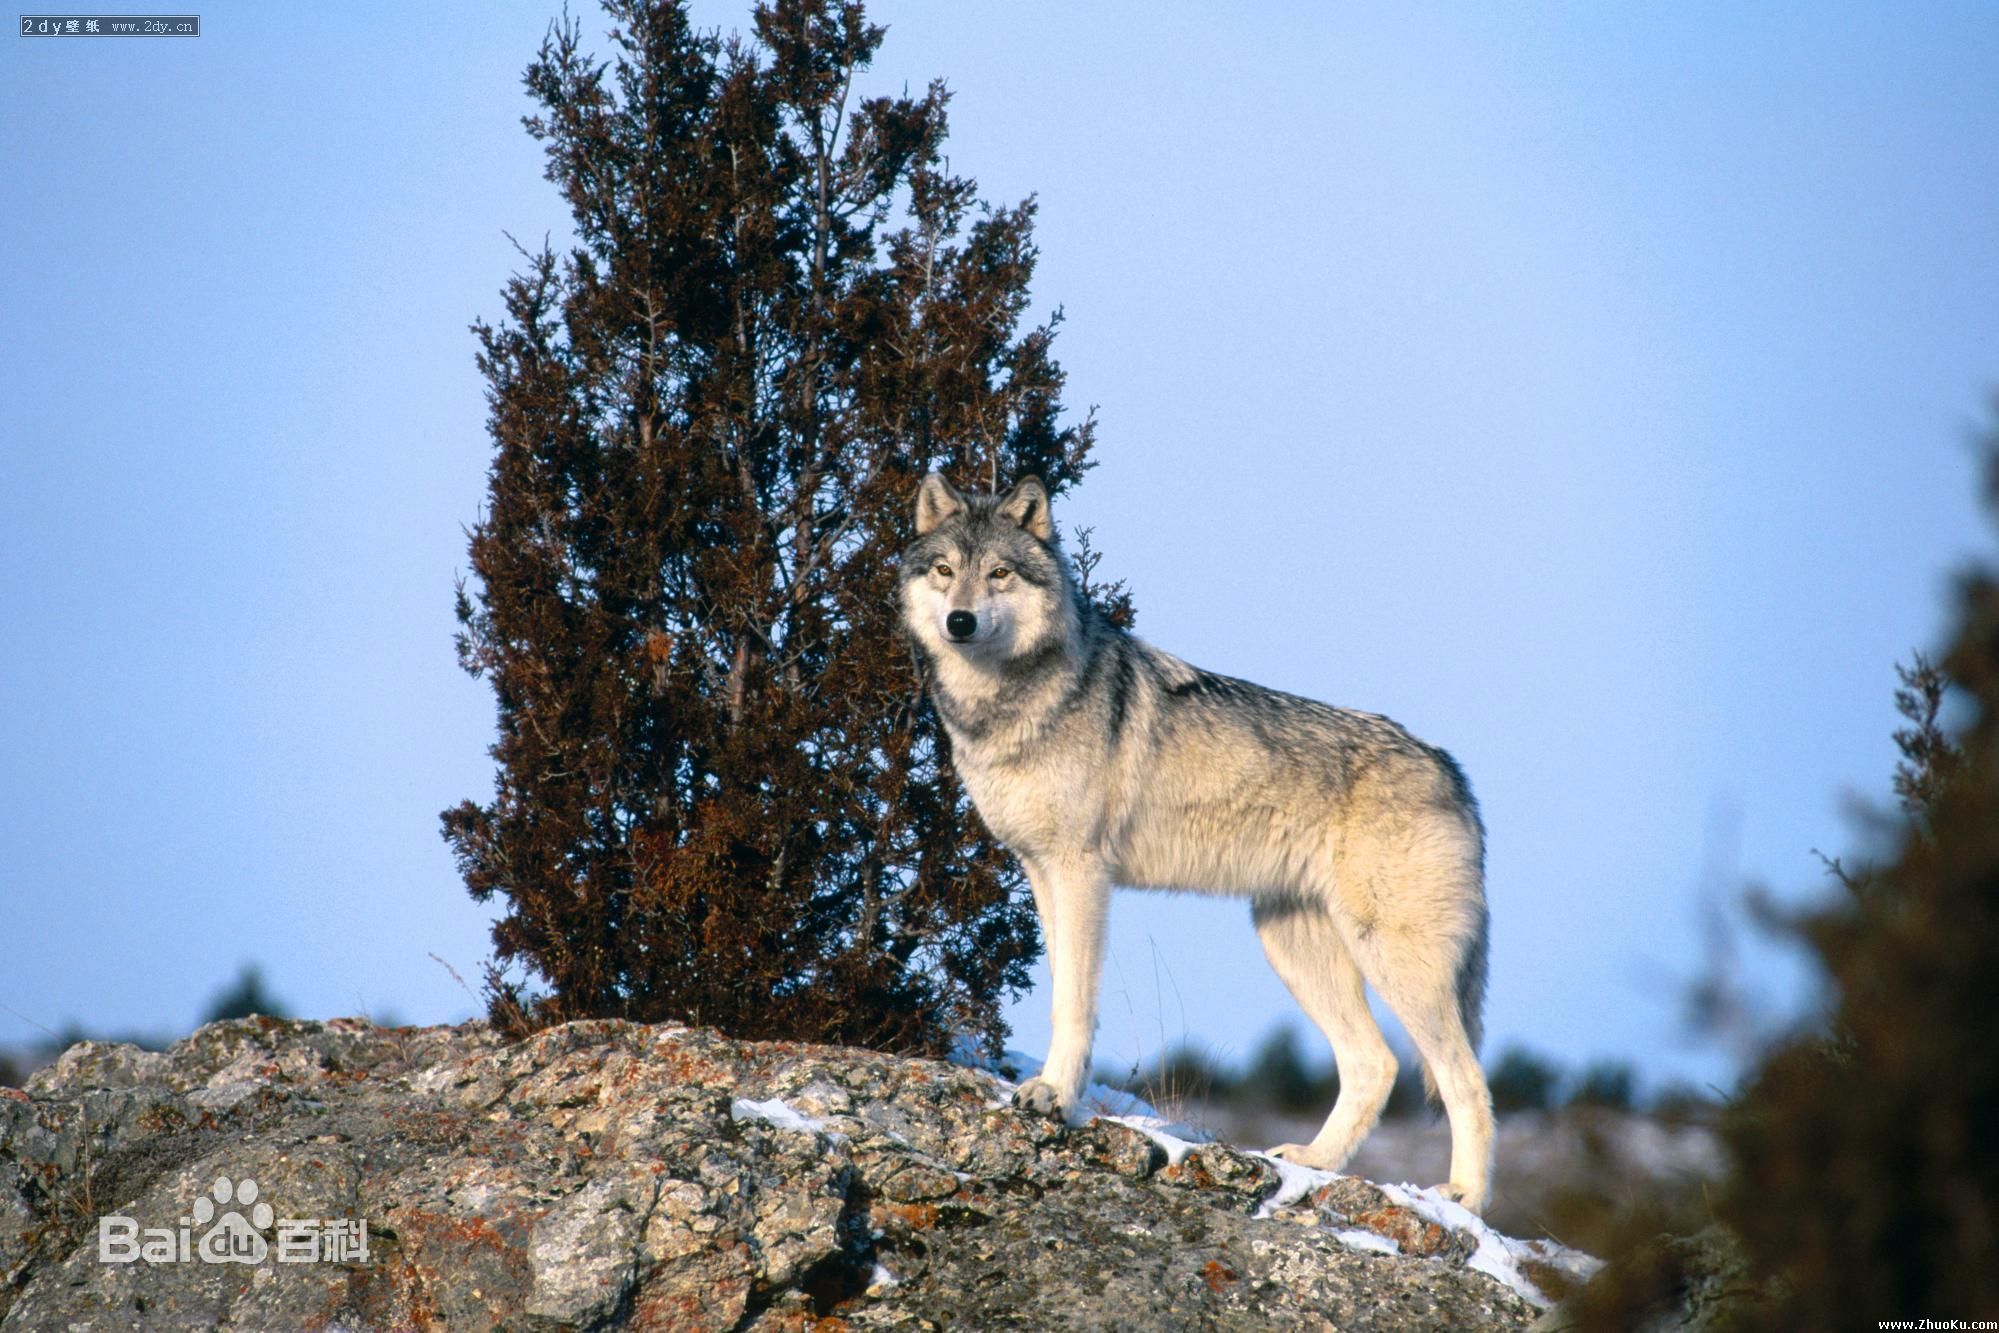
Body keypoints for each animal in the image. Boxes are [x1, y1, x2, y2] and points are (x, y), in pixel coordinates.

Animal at [899, 473, 1495, 1215]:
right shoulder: (1040, 871)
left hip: (1392, 959)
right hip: (1290, 945)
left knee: (1466, 1079)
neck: (1007, 703)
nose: (959, 621)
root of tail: (1451, 769)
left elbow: (1074, 1003)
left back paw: (1463, 1197)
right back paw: (1313, 1162)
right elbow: (1062, 990)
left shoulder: (1081, 872)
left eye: (999, 573)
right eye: (945, 570)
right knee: (1375, 1064)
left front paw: (1055, 1097)